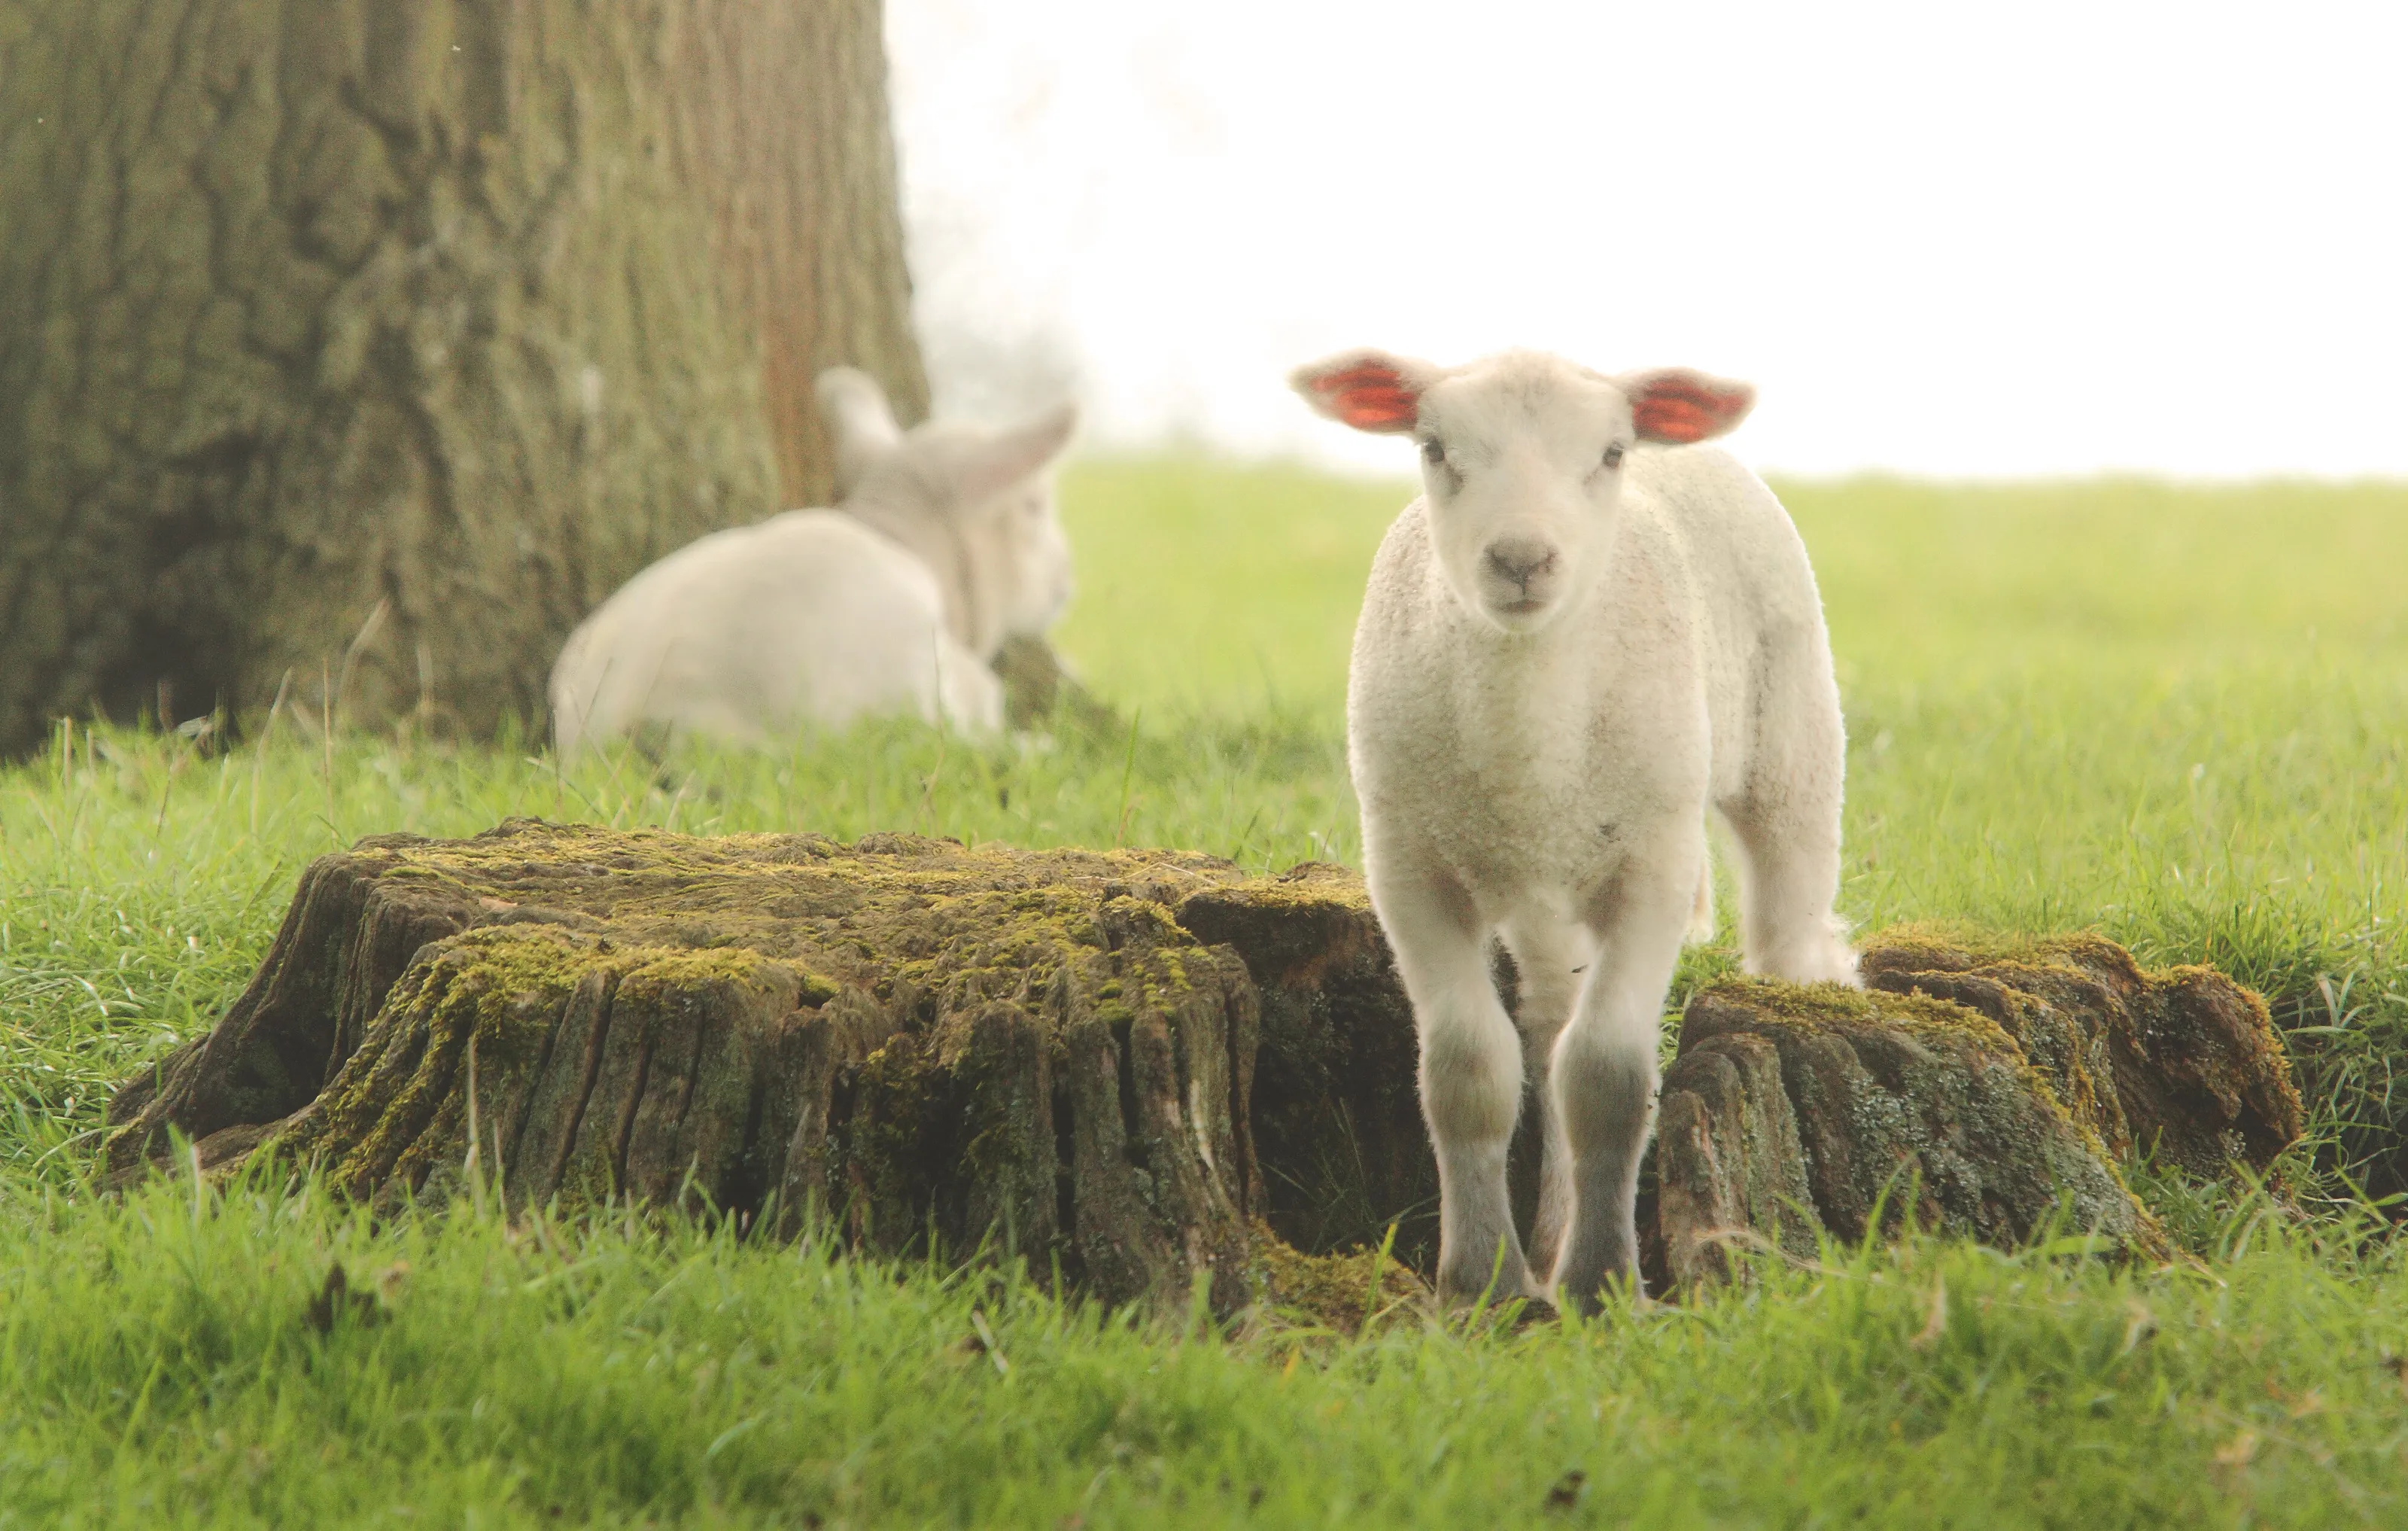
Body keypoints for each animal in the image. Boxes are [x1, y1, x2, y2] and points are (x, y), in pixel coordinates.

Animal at [1291, 347, 1857, 1312]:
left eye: (1609, 453)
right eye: (1433, 448)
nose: (1520, 558)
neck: (1527, 737)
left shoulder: (1653, 865)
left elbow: (1605, 1077)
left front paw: (1602, 1284)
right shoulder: (1408, 868)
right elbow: (1469, 1074)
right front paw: (1482, 1281)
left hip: (1793, 742)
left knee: (1787, 923)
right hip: (1542, 885)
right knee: (1548, 1025)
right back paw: (1549, 1231)